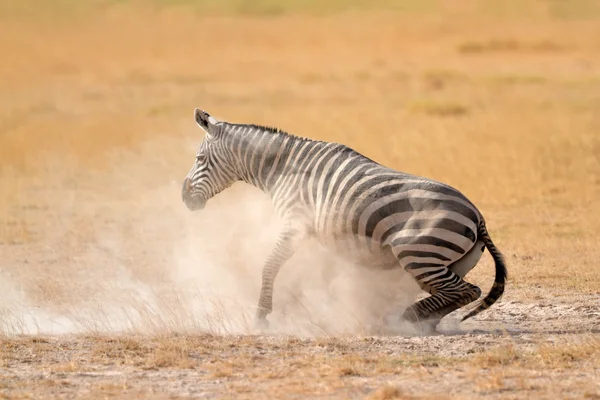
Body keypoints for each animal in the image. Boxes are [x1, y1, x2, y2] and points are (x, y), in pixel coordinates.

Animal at [182, 107, 506, 332]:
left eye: (199, 160)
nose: (184, 198)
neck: (282, 168)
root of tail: (477, 215)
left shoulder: (295, 223)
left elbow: (270, 266)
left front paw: (262, 316)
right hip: (451, 262)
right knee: (457, 293)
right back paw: (419, 320)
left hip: (417, 253)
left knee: (466, 291)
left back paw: (409, 318)